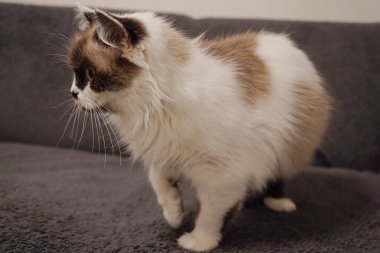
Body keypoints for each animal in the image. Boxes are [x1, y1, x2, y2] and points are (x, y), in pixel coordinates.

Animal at [67, 5, 330, 251]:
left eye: (89, 74)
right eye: (75, 74)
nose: (73, 93)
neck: (153, 107)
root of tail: (287, 44)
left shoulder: (223, 175)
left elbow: (211, 214)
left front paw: (199, 241)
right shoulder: (162, 154)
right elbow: (161, 184)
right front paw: (174, 216)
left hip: (287, 149)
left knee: (275, 176)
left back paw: (279, 203)